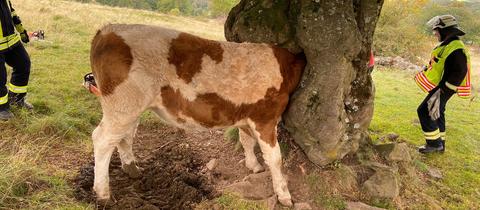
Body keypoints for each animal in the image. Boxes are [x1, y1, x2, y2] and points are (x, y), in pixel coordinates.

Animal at [89, 23, 306, 206]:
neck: (285, 67)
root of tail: (106, 30)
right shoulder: (265, 117)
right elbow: (275, 158)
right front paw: (284, 195)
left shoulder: (246, 115)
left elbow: (246, 140)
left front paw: (253, 165)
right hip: (122, 103)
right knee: (102, 139)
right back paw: (103, 194)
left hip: (130, 106)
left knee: (125, 135)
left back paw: (131, 168)